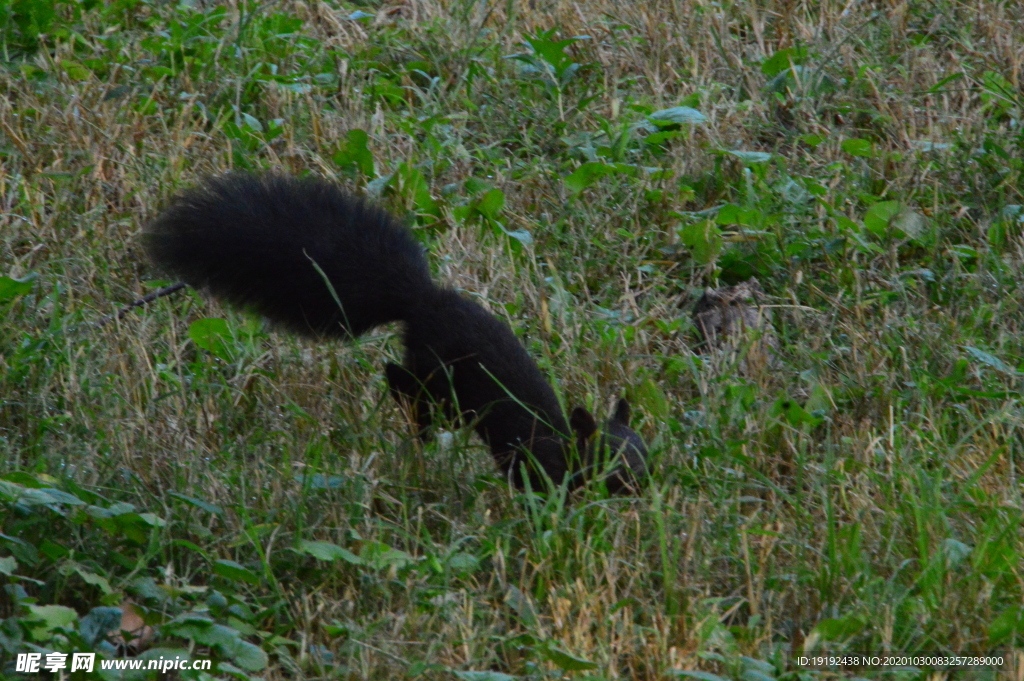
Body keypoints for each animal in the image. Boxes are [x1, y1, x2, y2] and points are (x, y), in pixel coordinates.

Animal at [144, 174, 647, 493]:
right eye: (612, 461)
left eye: (646, 451)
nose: (642, 484)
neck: (561, 443)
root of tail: (421, 299)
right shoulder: (532, 466)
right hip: (439, 378)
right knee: (406, 382)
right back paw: (410, 417)